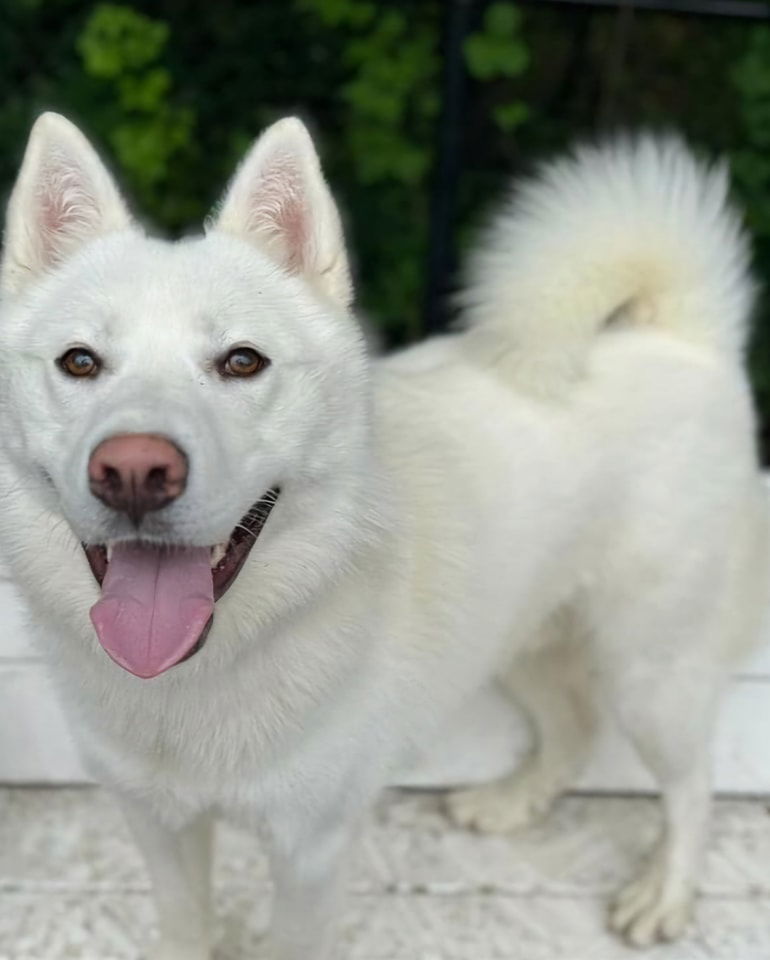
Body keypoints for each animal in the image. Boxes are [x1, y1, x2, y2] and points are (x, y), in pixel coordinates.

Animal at [0, 114, 760, 960]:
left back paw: (666, 895)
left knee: (692, 785)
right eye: (79, 362)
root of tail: (682, 338)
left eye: (241, 361)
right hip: (517, 634)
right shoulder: (158, 826)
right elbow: (185, 929)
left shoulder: (311, 851)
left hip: (650, 670)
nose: (134, 472)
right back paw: (511, 802)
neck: (199, 677)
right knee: (574, 729)